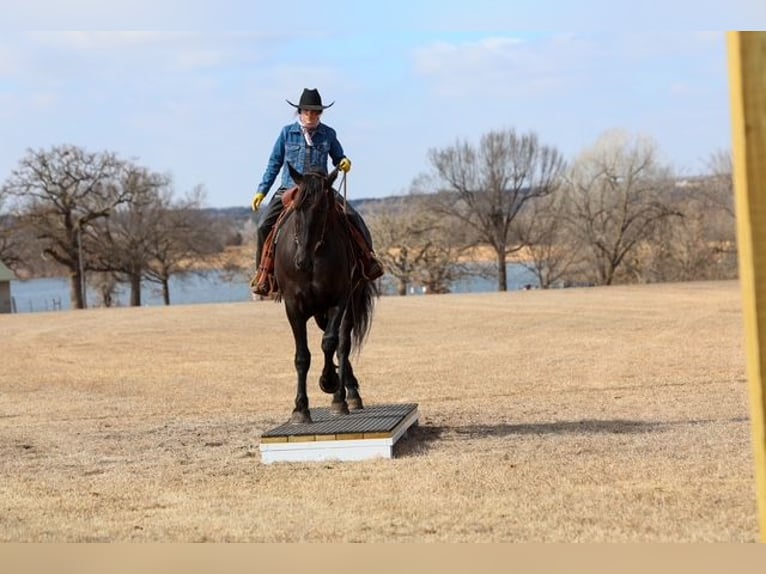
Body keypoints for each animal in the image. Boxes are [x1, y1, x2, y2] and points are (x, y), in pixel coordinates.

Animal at [273, 164, 378, 424]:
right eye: (298, 207)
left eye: (323, 208)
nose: (301, 260)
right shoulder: (293, 306)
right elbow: (302, 356)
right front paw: (300, 409)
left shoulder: (338, 300)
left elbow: (330, 343)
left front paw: (330, 383)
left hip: (350, 302)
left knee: (343, 343)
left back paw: (346, 396)